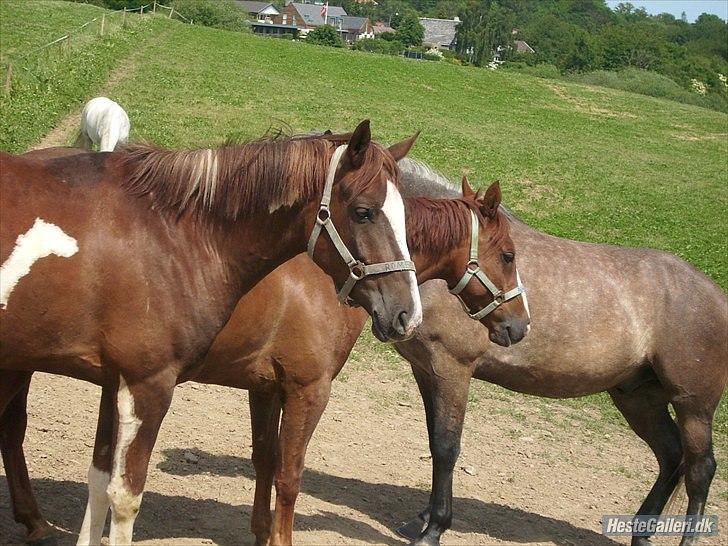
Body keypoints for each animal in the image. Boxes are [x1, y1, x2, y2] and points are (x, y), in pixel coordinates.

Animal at [0, 150, 528, 544]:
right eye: (508, 255)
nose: (520, 325)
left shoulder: (264, 387)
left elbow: (264, 461)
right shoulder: (307, 389)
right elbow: (289, 477)